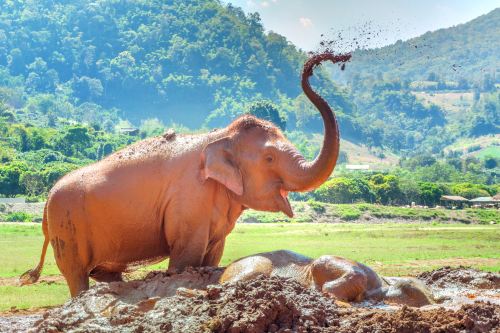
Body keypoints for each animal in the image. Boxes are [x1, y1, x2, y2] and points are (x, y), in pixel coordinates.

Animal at [20, 52, 352, 296]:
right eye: (270, 158)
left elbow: (212, 256)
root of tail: (46, 200)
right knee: (76, 274)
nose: (317, 64)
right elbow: (185, 258)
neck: (220, 135)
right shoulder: (189, 201)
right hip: (67, 228)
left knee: (106, 273)